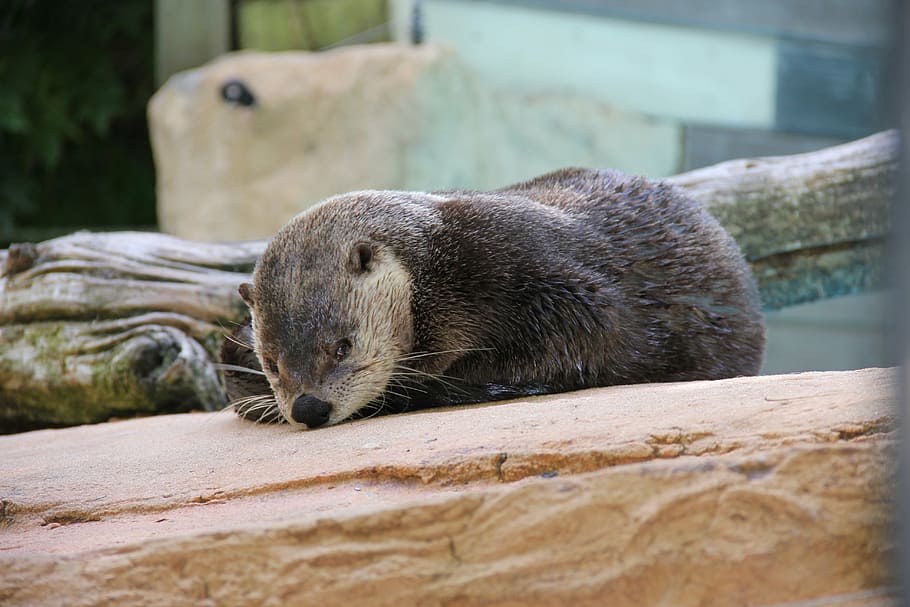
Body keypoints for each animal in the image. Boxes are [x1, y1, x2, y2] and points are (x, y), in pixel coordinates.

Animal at [225, 168, 765, 429]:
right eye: (272, 363)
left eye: (343, 347)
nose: (308, 408)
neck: (441, 268)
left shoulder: (530, 270)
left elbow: (592, 336)